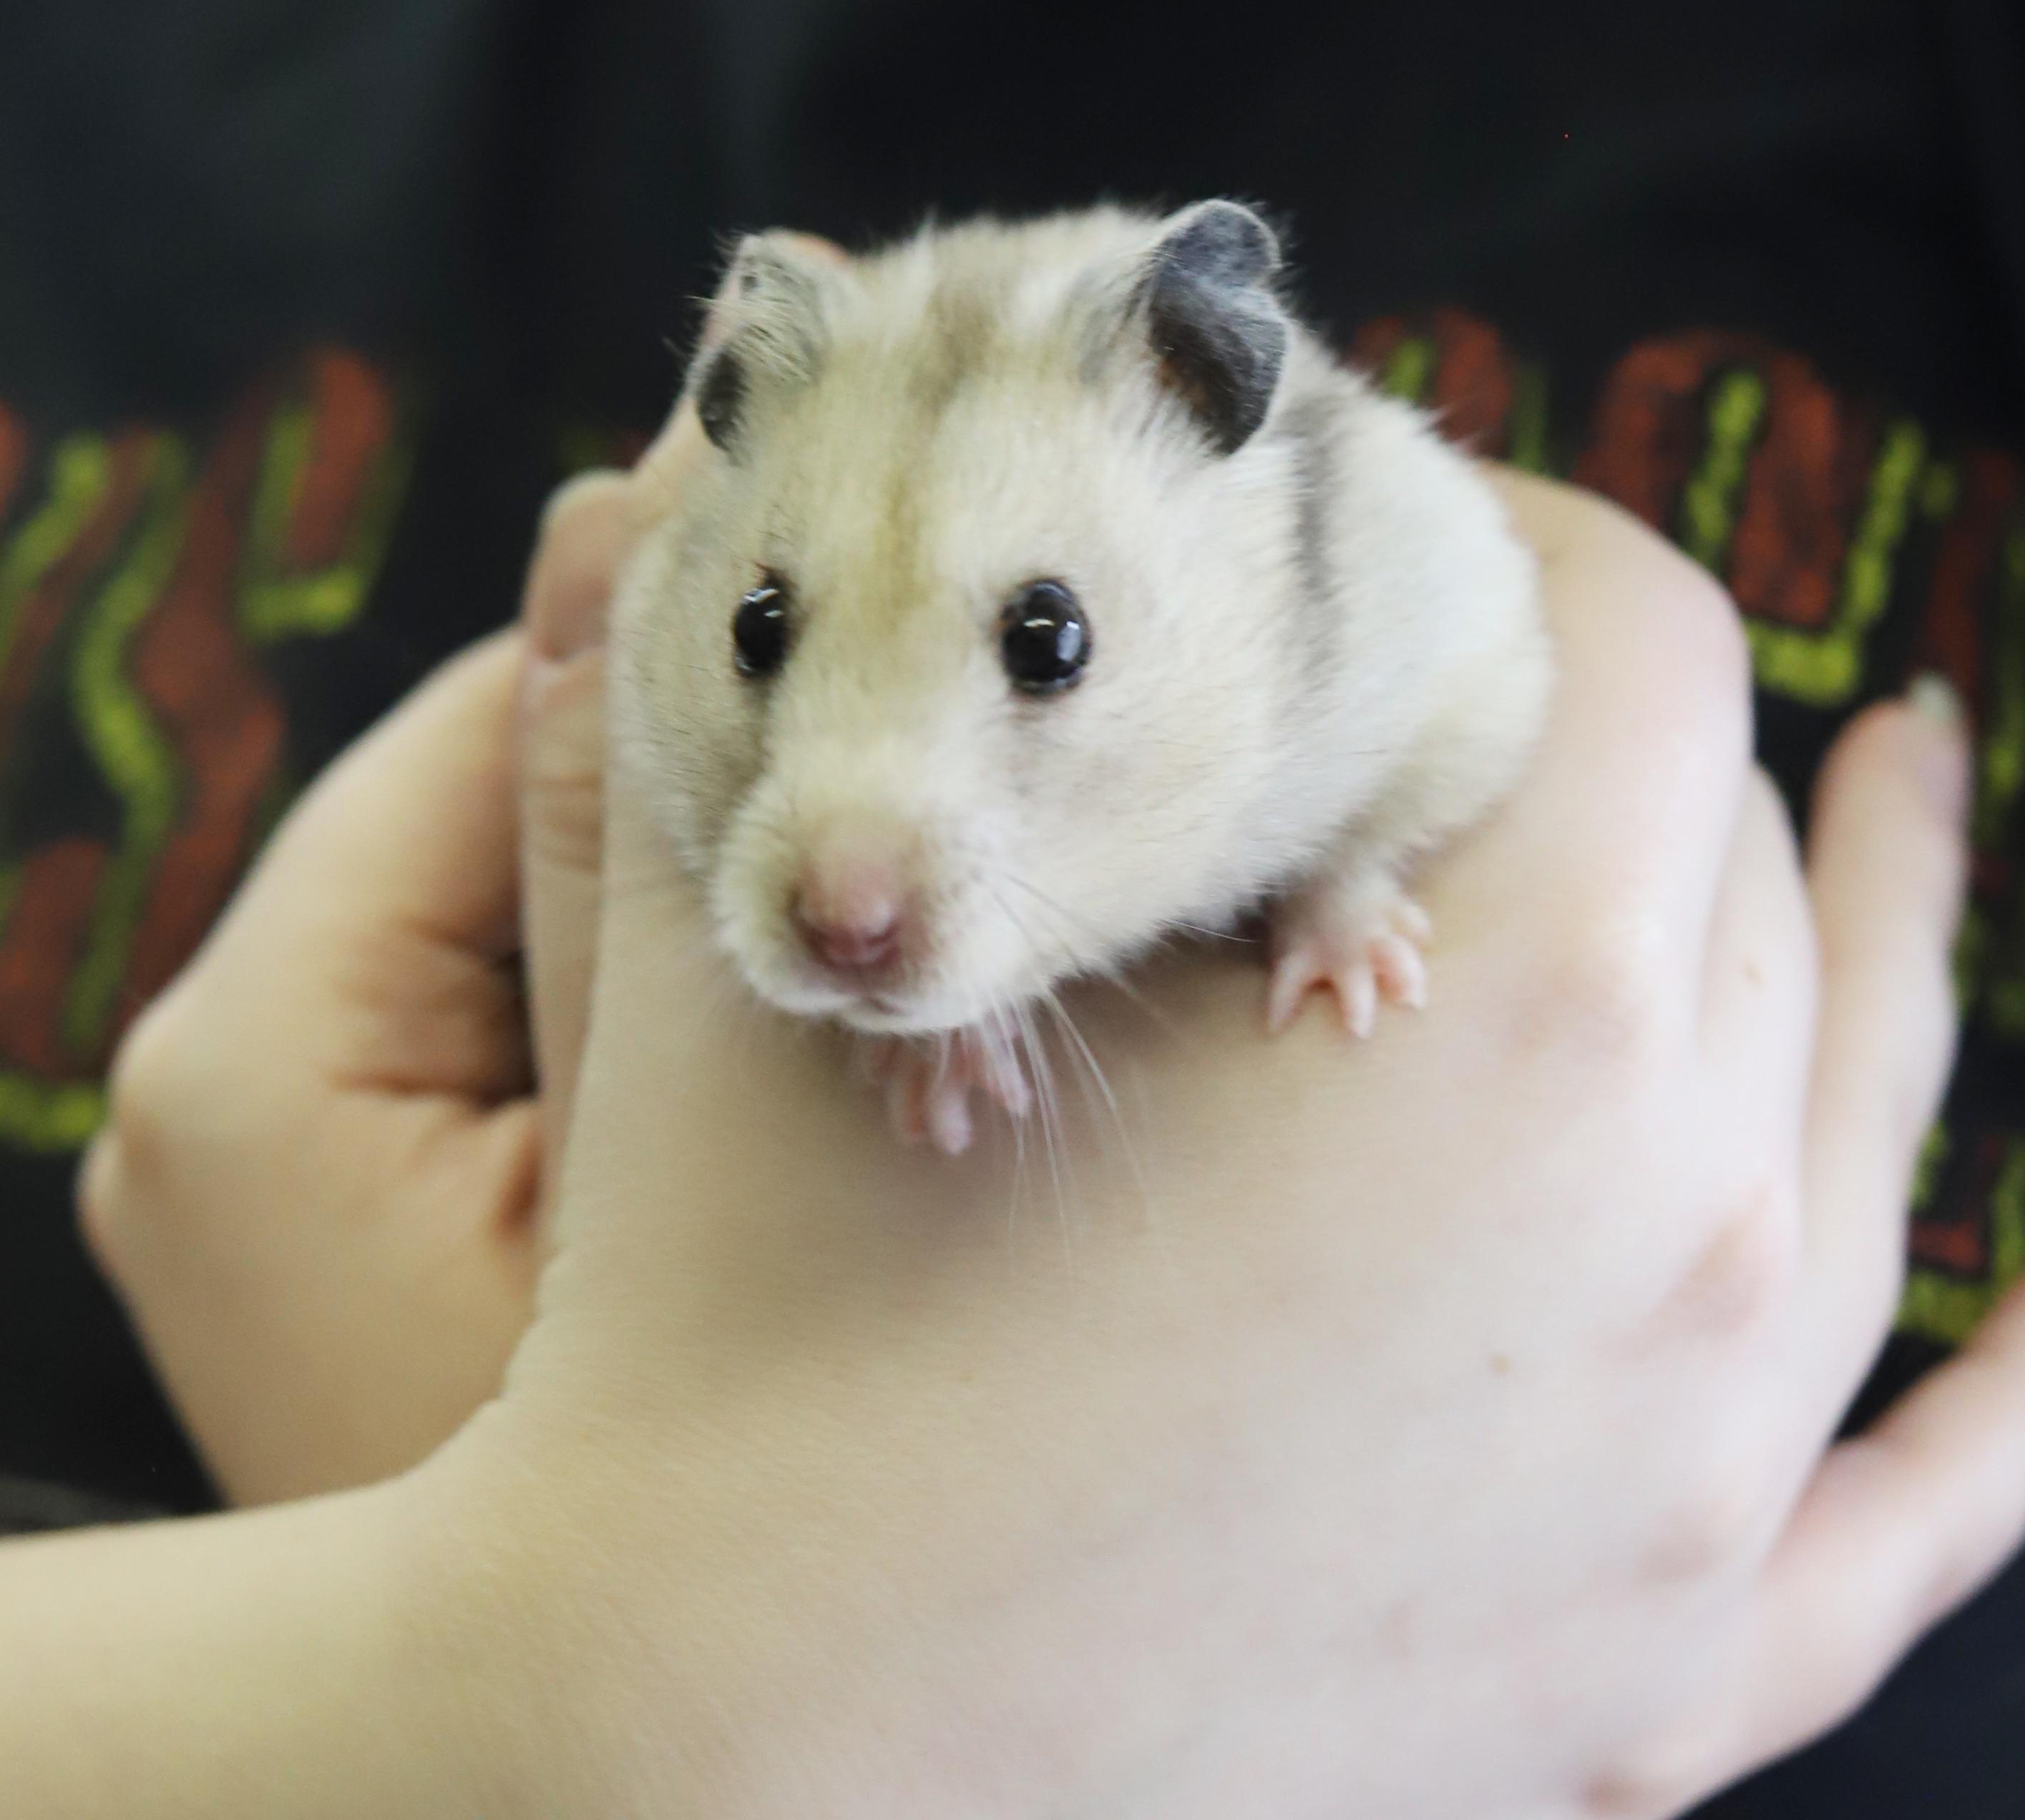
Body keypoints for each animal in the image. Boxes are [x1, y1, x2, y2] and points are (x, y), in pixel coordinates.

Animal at [612, 201, 1551, 1154]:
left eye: (1052, 639)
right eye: (753, 625)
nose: (844, 935)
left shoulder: (1469, 669)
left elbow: (1358, 845)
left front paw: (1357, 992)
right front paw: (933, 1100)